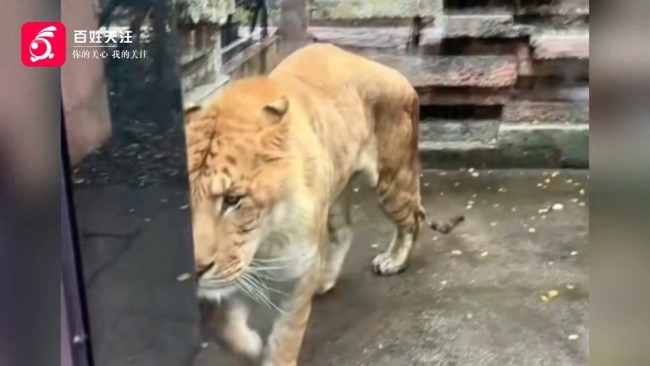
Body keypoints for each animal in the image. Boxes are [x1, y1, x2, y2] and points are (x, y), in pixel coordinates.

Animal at [184, 43, 460, 366]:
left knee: (411, 221)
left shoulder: (298, 272)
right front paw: (250, 346)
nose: (195, 270)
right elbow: (221, 324)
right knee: (345, 229)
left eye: (233, 200)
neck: (262, 241)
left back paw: (393, 261)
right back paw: (325, 279)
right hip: (337, 188)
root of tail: (396, 75)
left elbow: (286, 336)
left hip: (392, 181)